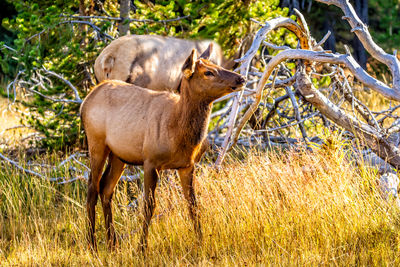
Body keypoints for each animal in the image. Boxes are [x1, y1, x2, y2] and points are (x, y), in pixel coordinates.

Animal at [80, 43, 245, 251]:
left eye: (217, 65)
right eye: (208, 72)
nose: (241, 78)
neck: (179, 132)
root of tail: (85, 101)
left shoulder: (187, 165)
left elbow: (193, 204)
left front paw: (201, 242)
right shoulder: (151, 161)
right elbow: (149, 205)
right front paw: (142, 248)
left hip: (119, 155)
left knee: (106, 188)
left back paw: (112, 243)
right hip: (96, 143)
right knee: (92, 188)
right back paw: (92, 244)